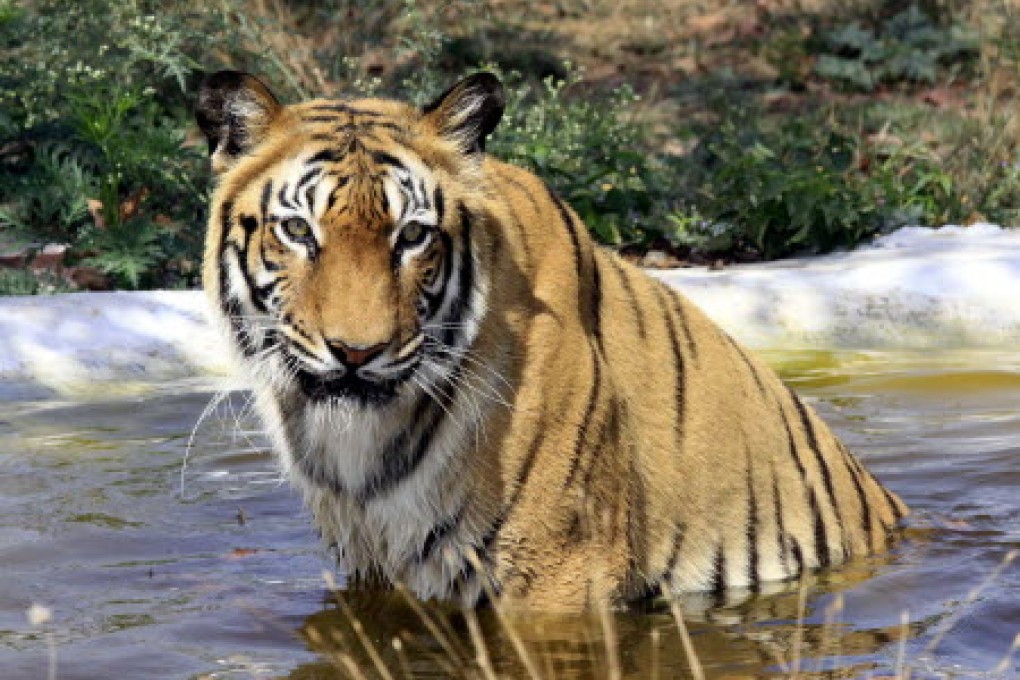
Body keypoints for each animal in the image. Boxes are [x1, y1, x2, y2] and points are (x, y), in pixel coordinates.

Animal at [194, 70, 905, 611]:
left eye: (413, 236)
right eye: (297, 230)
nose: (356, 352)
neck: (364, 449)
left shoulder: (559, 574)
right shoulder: (371, 568)